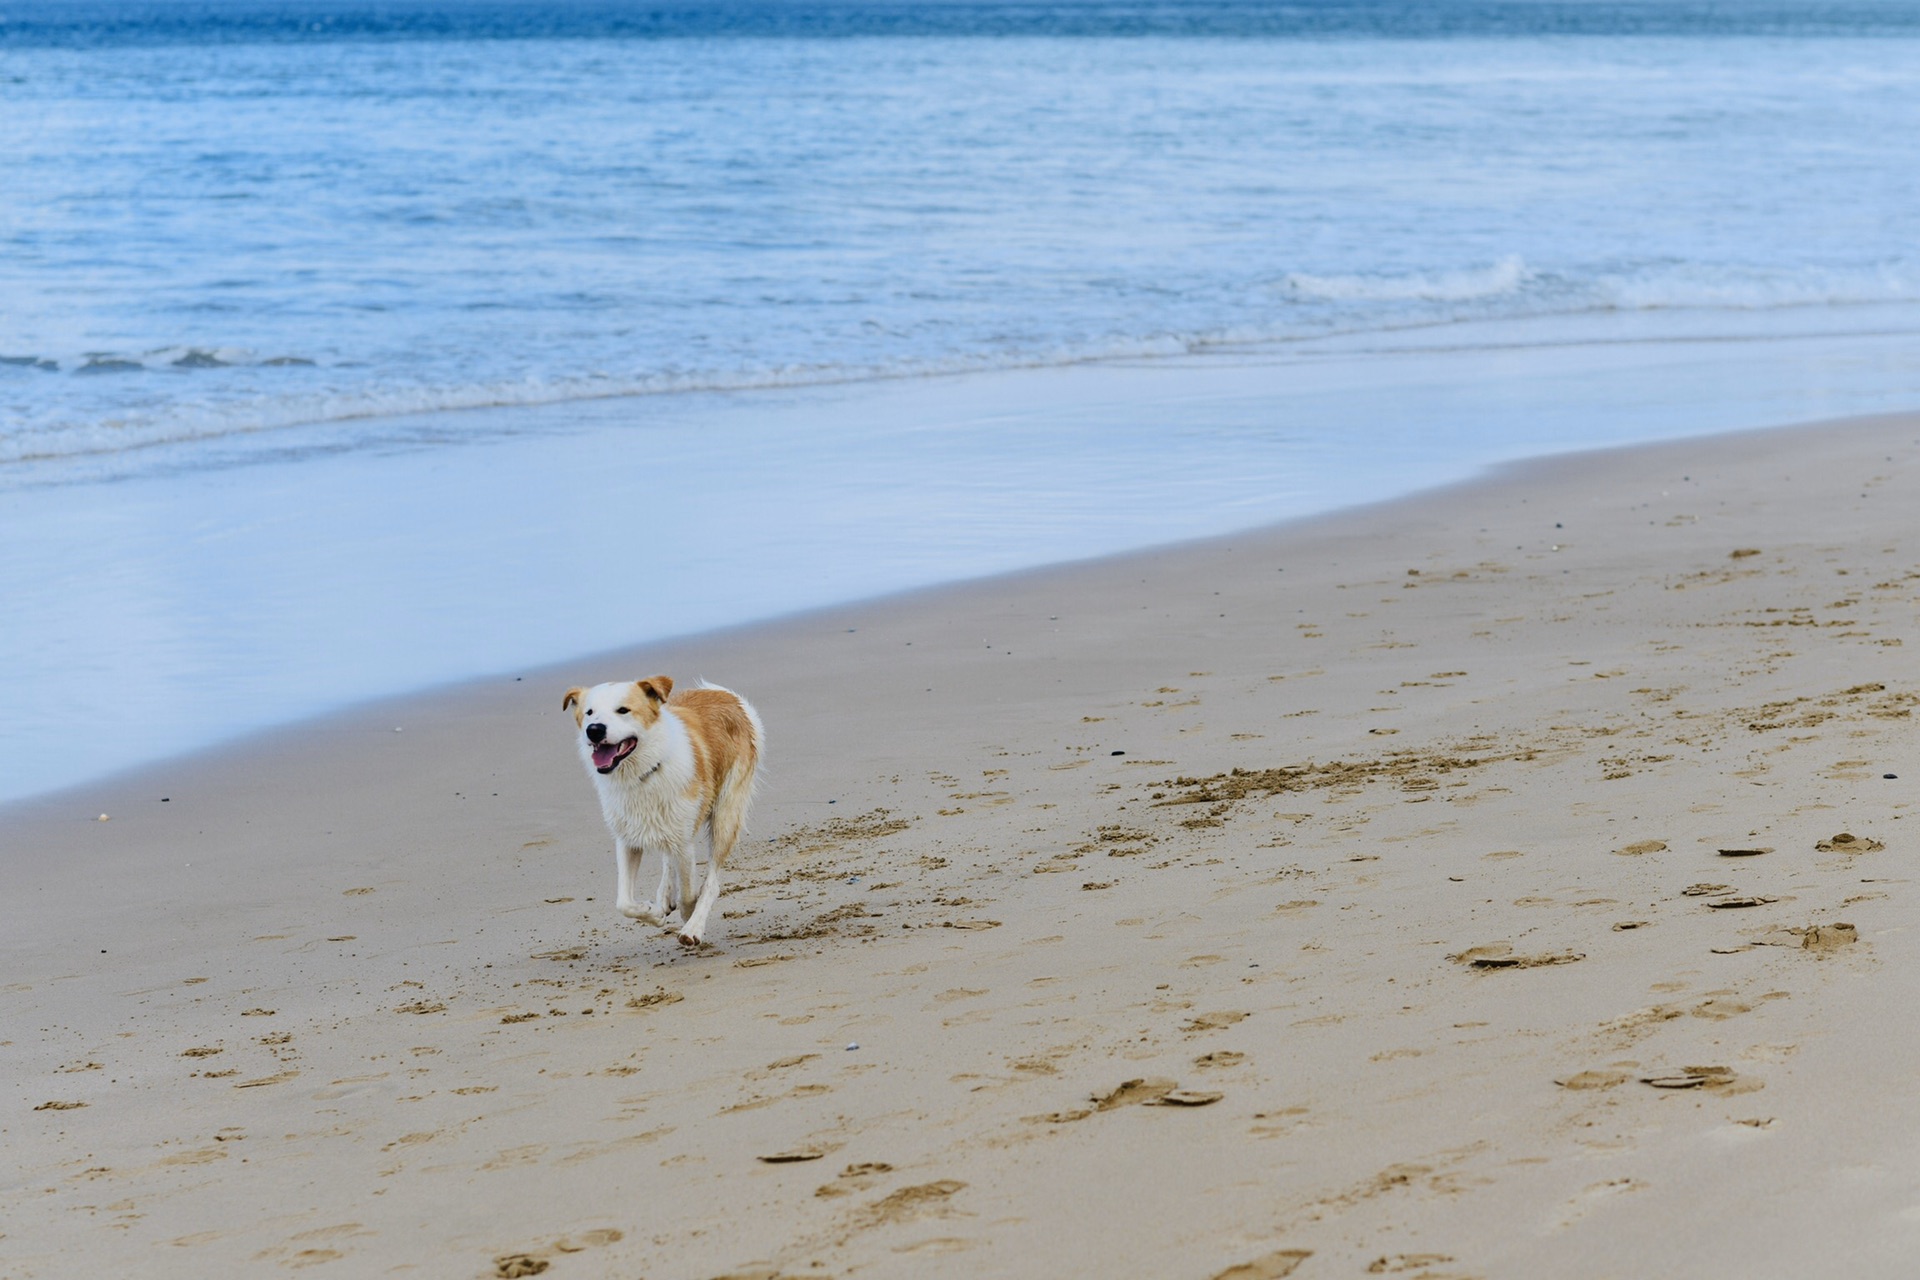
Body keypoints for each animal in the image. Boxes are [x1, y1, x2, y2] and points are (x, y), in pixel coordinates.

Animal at [560, 675, 760, 948]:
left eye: (623, 710)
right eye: (589, 713)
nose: (594, 730)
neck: (644, 773)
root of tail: (728, 697)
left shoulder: (685, 843)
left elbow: (690, 895)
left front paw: (689, 918)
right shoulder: (627, 840)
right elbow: (624, 902)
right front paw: (653, 913)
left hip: (725, 817)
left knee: (712, 882)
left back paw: (693, 926)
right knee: (669, 857)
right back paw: (665, 896)